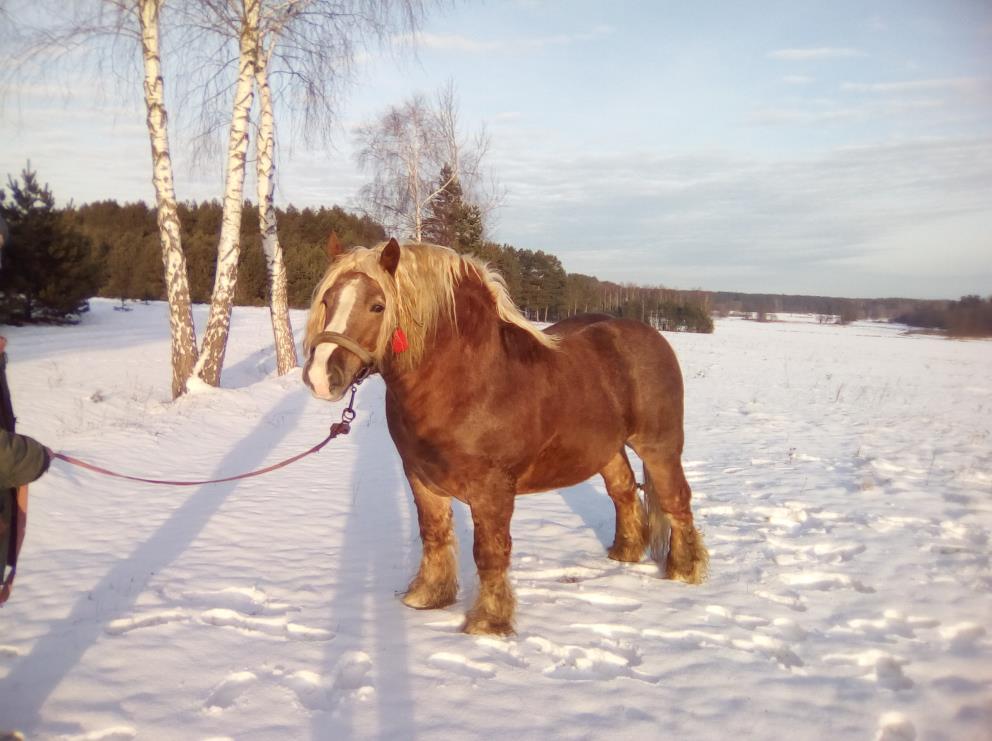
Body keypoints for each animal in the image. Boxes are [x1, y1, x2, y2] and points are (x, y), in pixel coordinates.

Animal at [302, 238, 704, 636]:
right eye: (327, 300)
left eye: (377, 305)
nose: (321, 376)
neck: (468, 379)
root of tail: (649, 334)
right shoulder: (420, 476)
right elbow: (434, 534)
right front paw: (428, 596)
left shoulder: (491, 486)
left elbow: (490, 552)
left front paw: (487, 622)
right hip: (606, 450)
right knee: (623, 492)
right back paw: (624, 554)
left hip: (659, 446)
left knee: (676, 500)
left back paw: (685, 571)